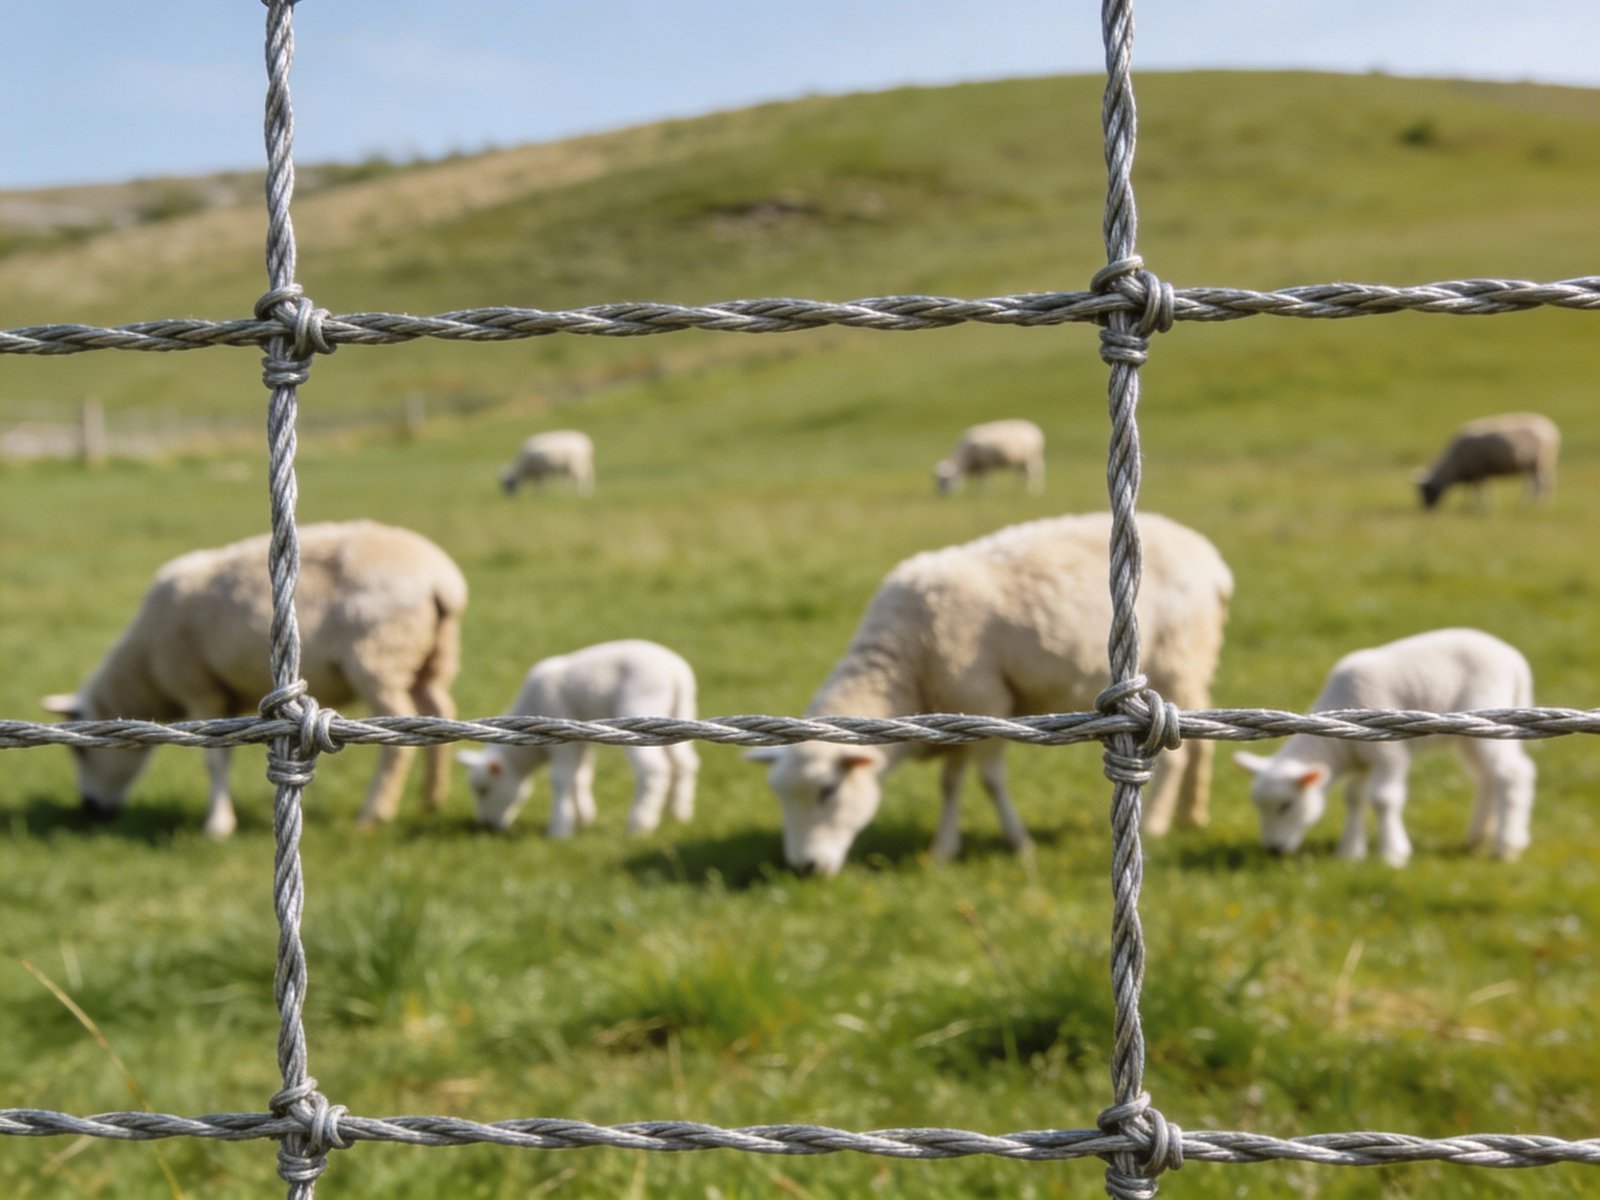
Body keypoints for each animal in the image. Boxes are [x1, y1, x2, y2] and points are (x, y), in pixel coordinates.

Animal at [41, 520, 467, 839]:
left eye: (80, 752)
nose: (90, 811)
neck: (146, 669)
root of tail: (440, 580)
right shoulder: (226, 697)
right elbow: (225, 755)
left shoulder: (200, 687)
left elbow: (213, 761)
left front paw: (217, 826)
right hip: (431, 657)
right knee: (436, 713)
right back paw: (432, 800)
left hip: (378, 656)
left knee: (396, 743)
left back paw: (373, 815)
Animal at [456, 639, 699, 837]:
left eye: (484, 789)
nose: (487, 827)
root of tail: (677, 674)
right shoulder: (578, 737)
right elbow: (580, 776)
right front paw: (584, 817)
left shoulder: (558, 718)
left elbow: (561, 779)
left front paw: (559, 828)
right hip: (680, 713)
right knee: (685, 762)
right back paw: (679, 812)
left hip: (641, 705)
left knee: (653, 770)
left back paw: (639, 824)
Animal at [746, 512, 1233, 876]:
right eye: (779, 795)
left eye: (828, 791)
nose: (804, 869)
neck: (905, 663)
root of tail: (1211, 561)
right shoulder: (956, 713)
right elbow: (951, 783)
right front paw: (946, 847)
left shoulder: (983, 702)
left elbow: (983, 780)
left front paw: (1013, 844)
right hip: (1196, 663)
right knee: (1199, 743)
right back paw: (1193, 815)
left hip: (1177, 659)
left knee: (1177, 756)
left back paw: (1157, 824)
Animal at [1234, 628, 1536, 867]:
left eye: (1286, 805)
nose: (1273, 850)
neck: (1335, 748)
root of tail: (1514, 660)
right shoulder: (1361, 759)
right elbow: (1354, 798)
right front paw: (1350, 851)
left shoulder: (1389, 755)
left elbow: (1383, 799)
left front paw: (1393, 853)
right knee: (1488, 778)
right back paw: (1478, 838)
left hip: (1486, 715)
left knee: (1513, 774)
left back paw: (1507, 845)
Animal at [1416, 412, 1559, 510]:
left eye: (1427, 490)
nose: (1427, 510)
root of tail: (1552, 429)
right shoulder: (1478, 472)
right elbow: (1473, 491)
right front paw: (1469, 506)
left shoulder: (1478, 471)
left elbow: (1479, 491)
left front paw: (1481, 507)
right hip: (1543, 464)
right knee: (1547, 483)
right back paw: (1542, 504)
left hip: (1538, 462)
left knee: (1539, 484)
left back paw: (1532, 505)